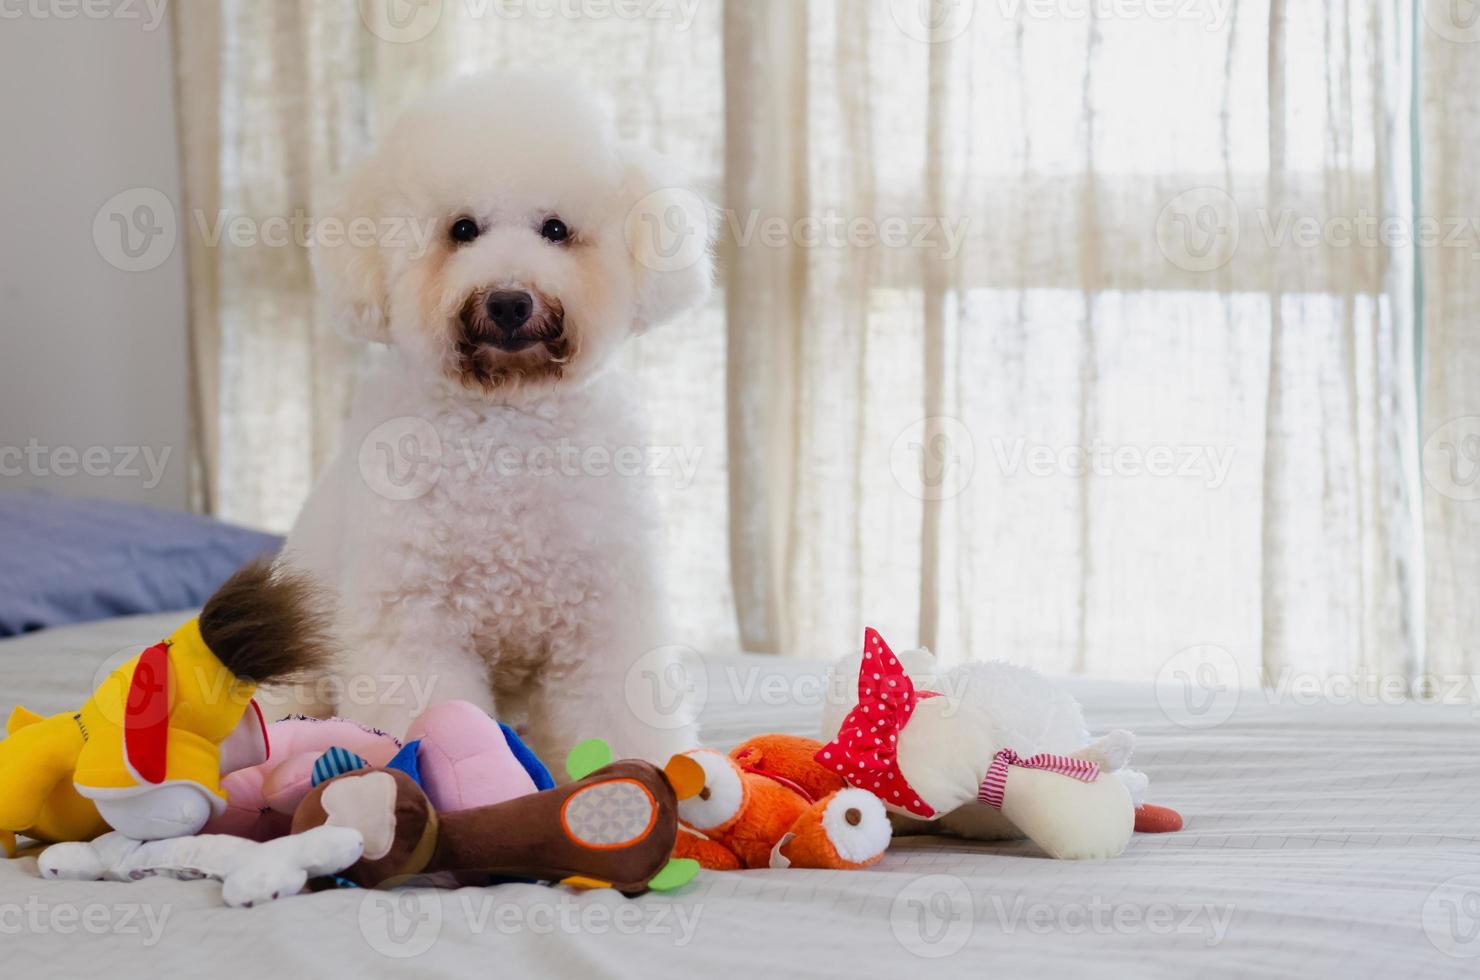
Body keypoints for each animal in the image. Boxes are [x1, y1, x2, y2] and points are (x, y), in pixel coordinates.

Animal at [284, 72, 716, 769]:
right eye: (463, 229)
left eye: (556, 229)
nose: (510, 300)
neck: (508, 430)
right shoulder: (414, 627)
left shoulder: (604, 625)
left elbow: (620, 720)